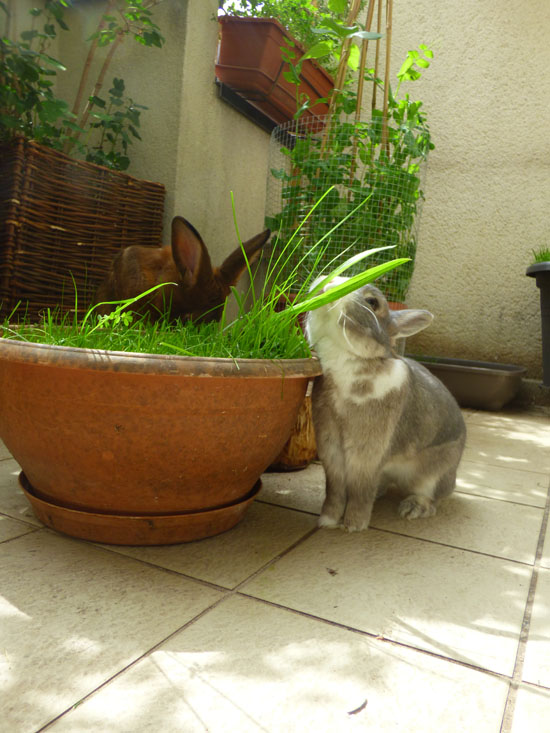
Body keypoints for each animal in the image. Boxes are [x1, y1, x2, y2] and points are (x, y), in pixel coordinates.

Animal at [305, 278, 466, 533]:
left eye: (373, 302)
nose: (328, 285)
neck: (347, 359)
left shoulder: (368, 450)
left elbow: (360, 490)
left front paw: (354, 526)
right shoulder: (330, 446)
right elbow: (335, 489)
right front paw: (327, 521)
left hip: (434, 475)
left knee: (431, 497)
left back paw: (412, 508)